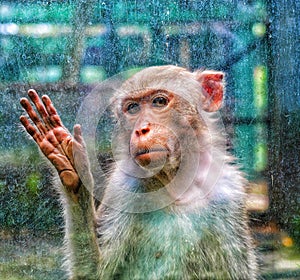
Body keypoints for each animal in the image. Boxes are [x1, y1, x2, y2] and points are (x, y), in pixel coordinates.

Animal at [19, 66, 258, 280]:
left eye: (159, 102)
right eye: (132, 108)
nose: (141, 129)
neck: (176, 183)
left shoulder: (228, 193)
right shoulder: (124, 188)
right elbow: (94, 273)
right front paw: (73, 170)